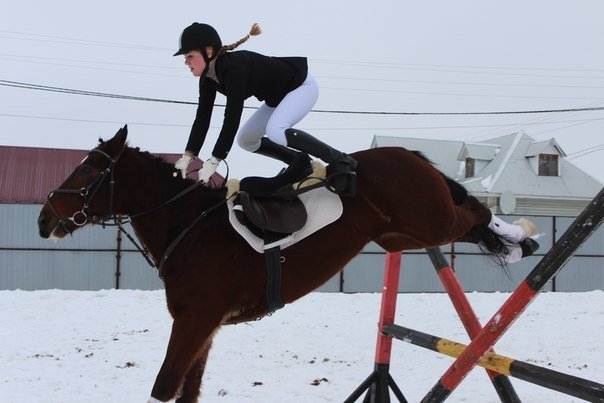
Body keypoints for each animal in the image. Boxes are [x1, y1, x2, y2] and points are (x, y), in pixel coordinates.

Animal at [39, 127, 536, 403]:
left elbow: (164, 387)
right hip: (404, 235)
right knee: (469, 220)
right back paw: (518, 242)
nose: (44, 219)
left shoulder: (195, 320)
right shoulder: (202, 326)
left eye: (88, 170)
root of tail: (402, 153)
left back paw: (521, 239)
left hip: (430, 221)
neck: (188, 224)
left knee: (474, 213)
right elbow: (187, 391)